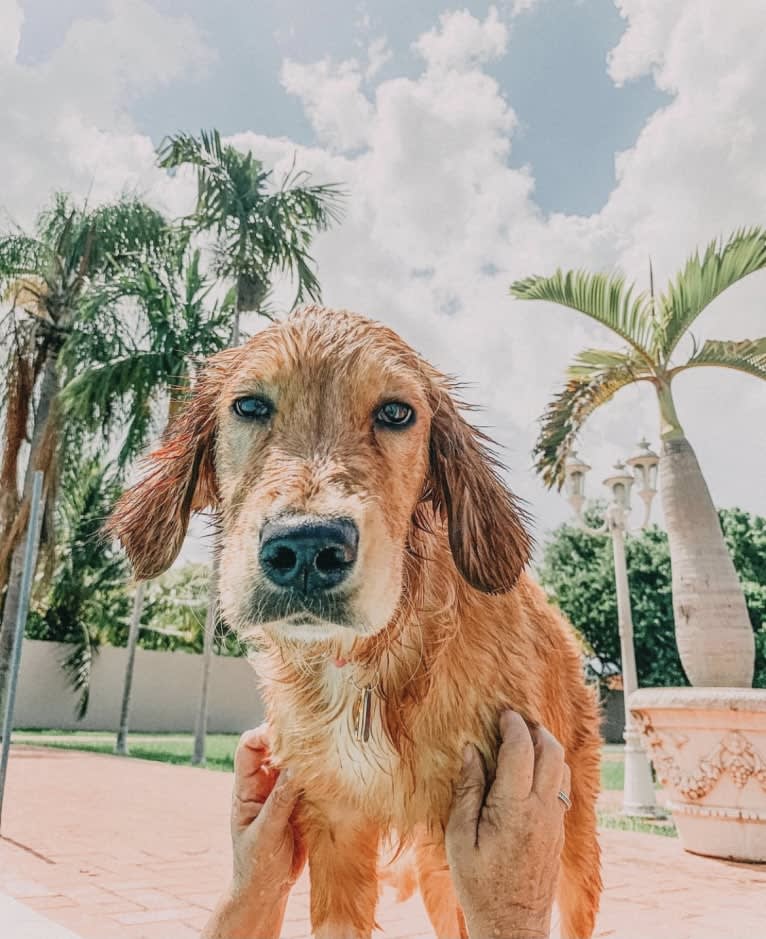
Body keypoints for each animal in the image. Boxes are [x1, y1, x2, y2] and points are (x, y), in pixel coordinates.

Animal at [108, 308, 604, 939]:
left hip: (571, 846)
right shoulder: (335, 823)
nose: (307, 548)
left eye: (396, 412)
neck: (366, 666)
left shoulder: (487, 817)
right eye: (250, 405)